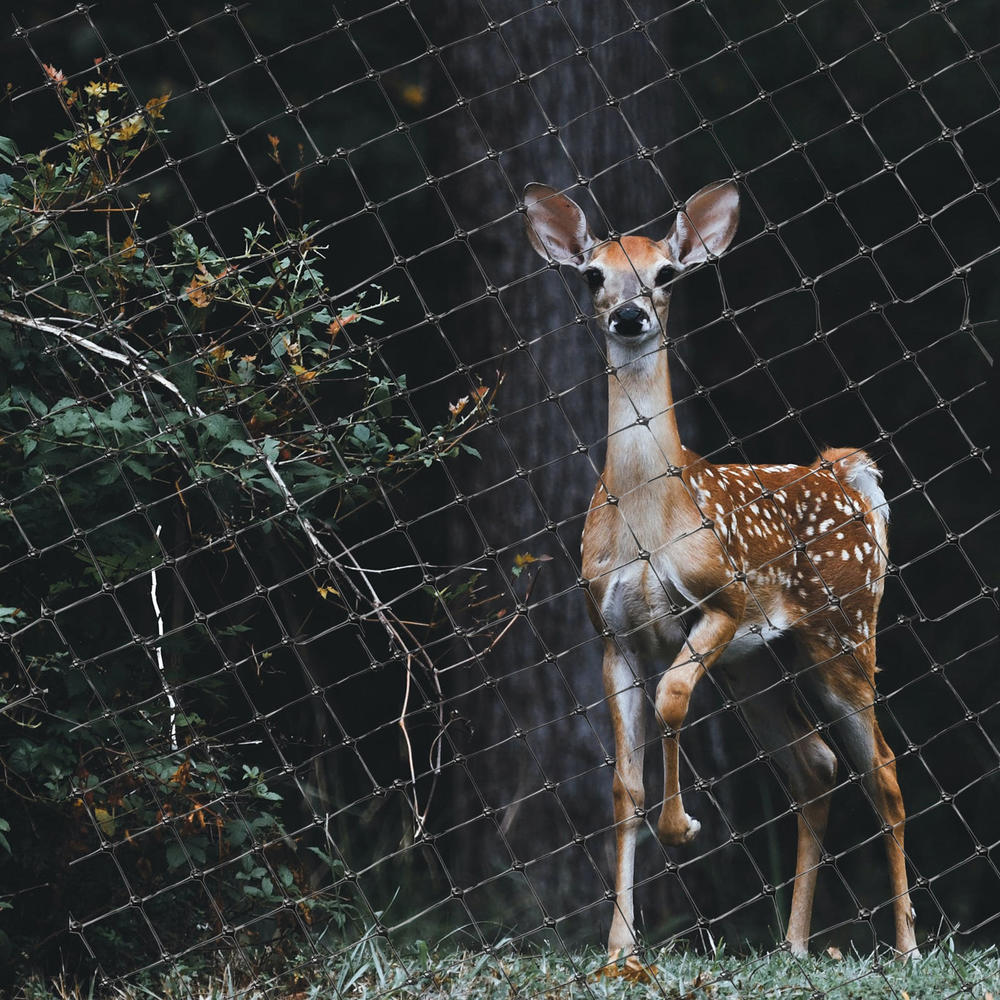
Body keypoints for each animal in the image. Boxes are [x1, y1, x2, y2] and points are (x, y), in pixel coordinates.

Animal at [522, 179, 919, 969]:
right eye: (592, 275)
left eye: (667, 273)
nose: (631, 315)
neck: (650, 519)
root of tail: (845, 475)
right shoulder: (611, 634)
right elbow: (623, 786)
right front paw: (620, 949)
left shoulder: (723, 600)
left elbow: (674, 698)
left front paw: (683, 828)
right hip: (757, 665)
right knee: (815, 764)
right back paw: (793, 944)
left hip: (843, 630)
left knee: (884, 770)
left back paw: (907, 947)